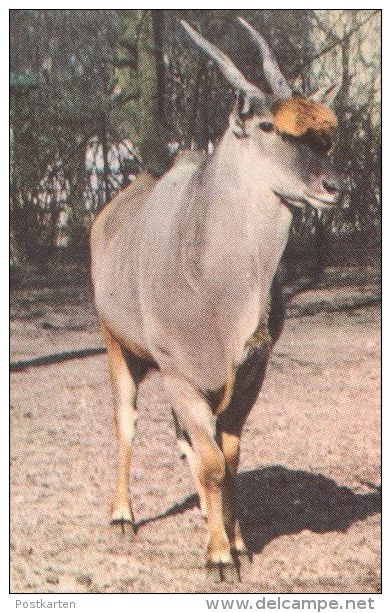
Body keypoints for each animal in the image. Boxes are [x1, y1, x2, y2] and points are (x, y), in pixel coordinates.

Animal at [90, 16, 342, 576]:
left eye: (323, 138)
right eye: (267, 127)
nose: (332, 186)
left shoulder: (248, 375)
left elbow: (227, 457)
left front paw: (237, 541)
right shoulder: (180, 375)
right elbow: (209, 461)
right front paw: (219, 555)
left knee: (187, 443)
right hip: (118, 347)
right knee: (126, 423)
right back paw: (122, 515)